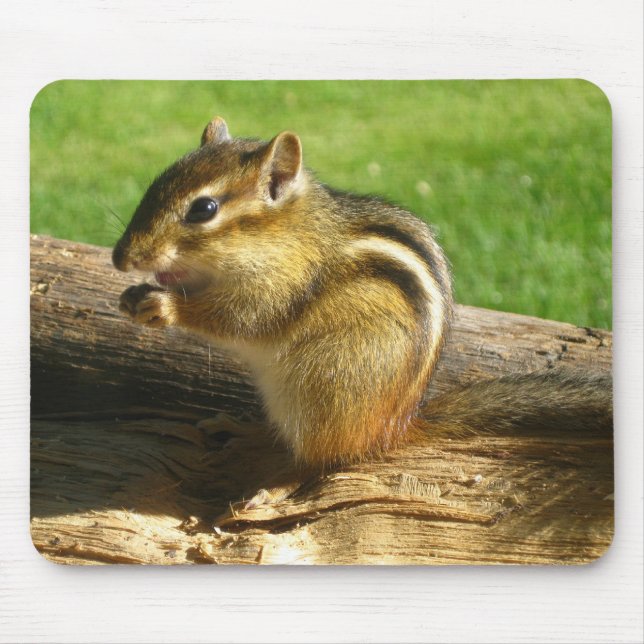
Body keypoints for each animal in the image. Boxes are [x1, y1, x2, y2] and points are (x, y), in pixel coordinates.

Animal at [113, 116, 612, 471]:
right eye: (155, 184)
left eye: (204, 209)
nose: (120, 258)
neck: (285, 235)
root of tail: (393, 426)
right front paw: (134, 295)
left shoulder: (281, 286)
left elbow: (240, 319)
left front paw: (163, 306)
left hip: (324, 386)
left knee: (319, 458)